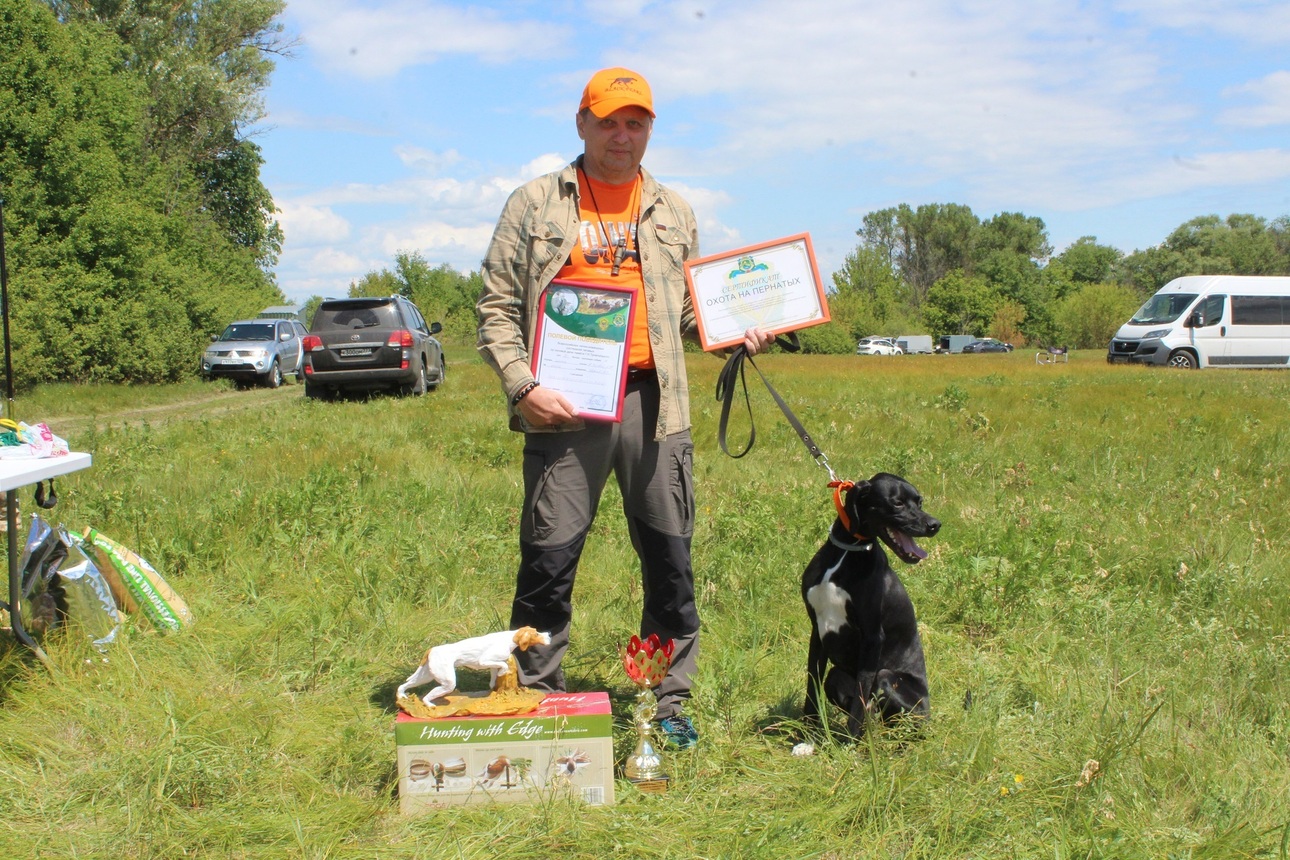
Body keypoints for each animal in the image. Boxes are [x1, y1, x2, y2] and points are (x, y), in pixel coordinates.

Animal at [794, 471, 939, 742]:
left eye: (920, 502)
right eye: (897, 503)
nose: (935, 524)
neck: (846, 553)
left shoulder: (873, 638)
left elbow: (859, 701)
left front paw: (848, 743)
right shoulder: (817, 631)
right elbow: (812, 686)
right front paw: (806, 737)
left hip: (887, 679)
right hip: (837, 676)